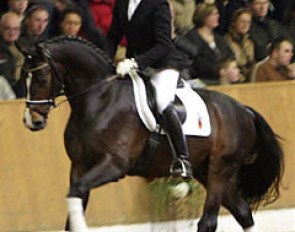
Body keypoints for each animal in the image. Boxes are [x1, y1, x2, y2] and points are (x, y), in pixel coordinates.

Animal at [18, 36, 284, 232]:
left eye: (41, 76)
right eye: (24, 77)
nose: (32, 121)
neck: (99, 100)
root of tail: (243, 110)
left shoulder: (114, 166)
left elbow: (76, 194)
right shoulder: (79, 167)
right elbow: (74, 202)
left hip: (222, 169)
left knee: (209, 222)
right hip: (206, 171)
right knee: (243, 212)